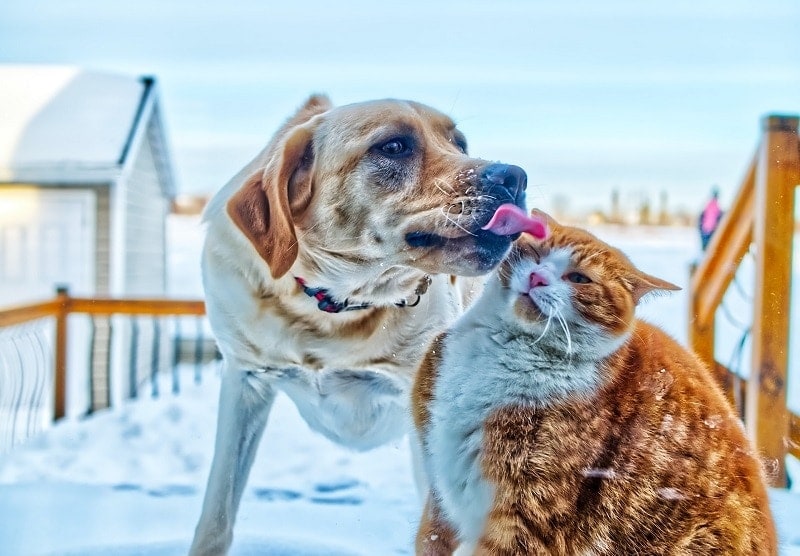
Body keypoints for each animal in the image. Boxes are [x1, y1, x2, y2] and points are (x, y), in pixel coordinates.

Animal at [190, 96, 528, 556]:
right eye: (394, 146)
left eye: (459, 143)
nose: (516, 177)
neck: (335, 308)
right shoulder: (245, 381)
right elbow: (217, 514)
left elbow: (437, 531)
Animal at [412, 211, 776, 552]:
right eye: (537, 252)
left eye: (578, 278)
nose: (537, 277)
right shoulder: (439, 499)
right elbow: (431, 537)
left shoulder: (526, 518)